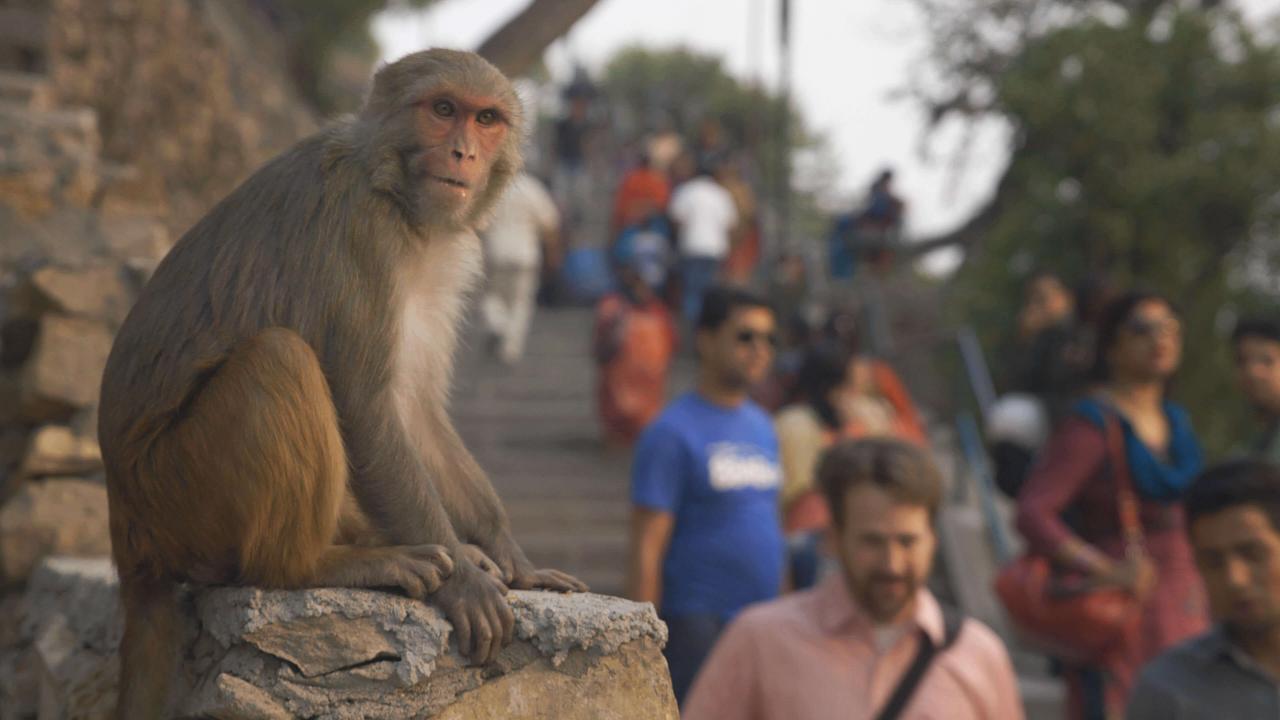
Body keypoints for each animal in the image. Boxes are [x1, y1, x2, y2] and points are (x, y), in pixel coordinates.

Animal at [98, 49, 587, 718]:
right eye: (443, 109)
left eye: (486, 118)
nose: (463, 152)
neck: (396, 192)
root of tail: (126, 527)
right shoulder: (363, 228)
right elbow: (366, 405)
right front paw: (465, 582)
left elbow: (413, 411)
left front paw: (511, 558)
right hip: (176, 491)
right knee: (280, 359)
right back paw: (316, 565)